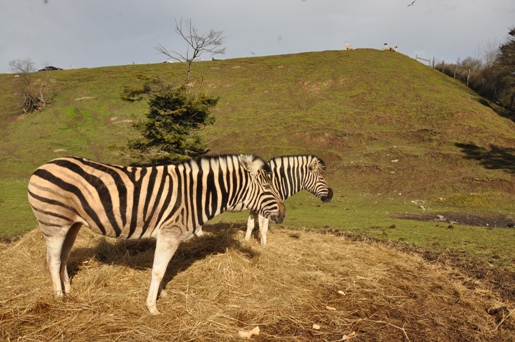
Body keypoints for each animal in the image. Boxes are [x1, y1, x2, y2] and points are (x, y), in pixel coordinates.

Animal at [27, 154, 286, 314]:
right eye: (267, 187)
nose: (283, 213)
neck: (196, 194)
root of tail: (44, 166)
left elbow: (164, 270)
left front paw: (161, 294)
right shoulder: (169, 232)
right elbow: (159, 270)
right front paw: (152, 306)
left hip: (71, 224)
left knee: (63, 258)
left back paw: (68, 290)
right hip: (54, 223)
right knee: (53, 260)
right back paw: (59, 298)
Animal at [198, 155, 334, 246]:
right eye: (321, 177)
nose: (331, 195)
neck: (276, 181)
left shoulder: (256, 207)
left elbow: (250, 225)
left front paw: (247, 241)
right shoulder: (266, 207)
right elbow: (263, 227)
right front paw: (264, 246)